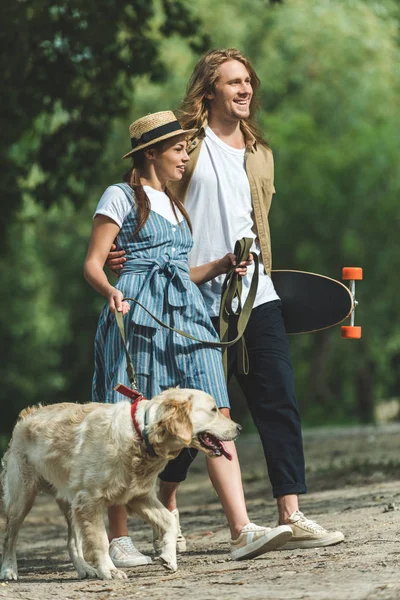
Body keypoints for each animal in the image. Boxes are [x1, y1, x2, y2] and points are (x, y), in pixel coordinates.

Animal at [0, 390, 241, 580]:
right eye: (213, 410)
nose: (238, 427)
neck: (141, 435)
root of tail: (27, 415)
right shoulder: (90, 500)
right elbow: (100, 540)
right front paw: (109, 571)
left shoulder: (139, 497)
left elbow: (170, 521)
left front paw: (168, 557)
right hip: (23, 499)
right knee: (10, 536)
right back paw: (9, 570)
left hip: (71, 504)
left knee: (72, 542)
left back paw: (84, 569)